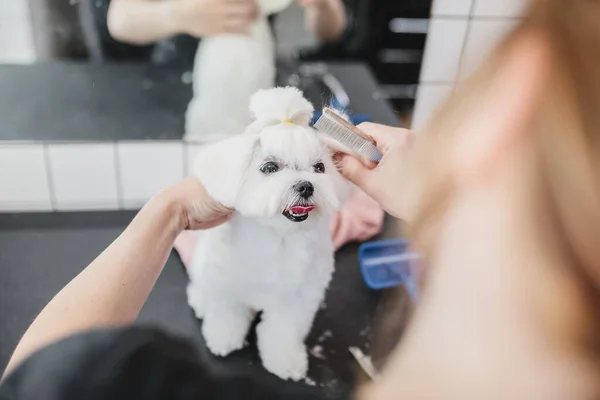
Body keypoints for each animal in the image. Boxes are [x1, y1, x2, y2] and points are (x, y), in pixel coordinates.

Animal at [186, 86, 346, 380]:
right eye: (269, 168)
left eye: (320, 168)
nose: (306, 186)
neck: (277, 237)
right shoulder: (226, 284)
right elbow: (226, 313)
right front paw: (223, 338)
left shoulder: (297, 298)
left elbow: (284, 330)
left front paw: (286, 359)